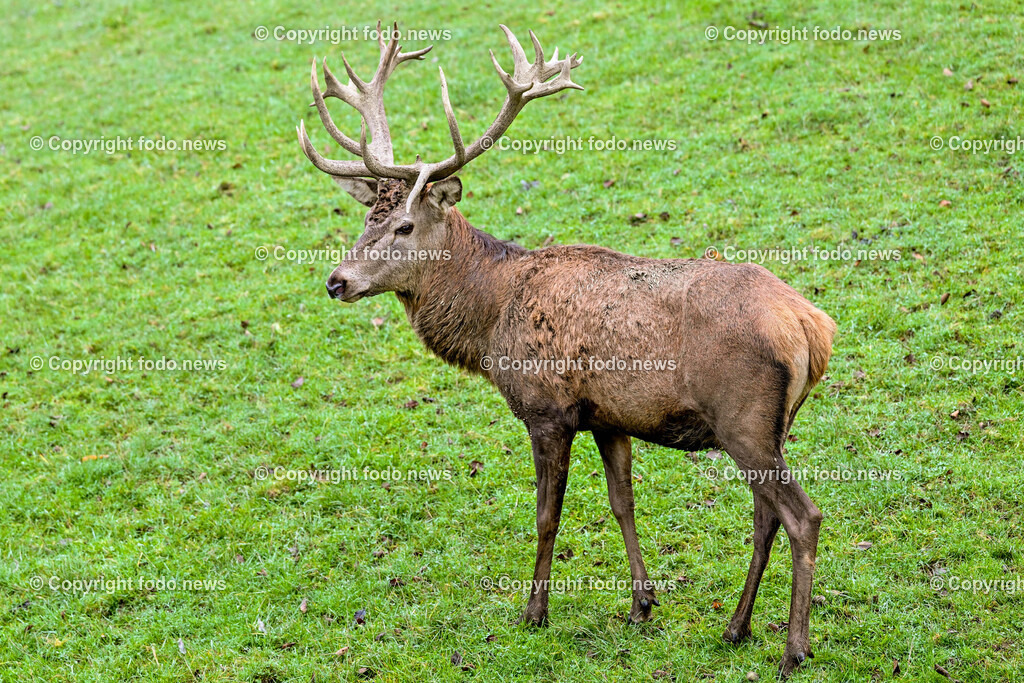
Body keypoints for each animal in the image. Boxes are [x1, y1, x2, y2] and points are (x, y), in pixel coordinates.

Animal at [294, 22, 836, 678]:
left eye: (404, 225)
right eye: (365, 218)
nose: (337, 281)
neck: (491, 317)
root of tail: (812, 326)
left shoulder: (547, 410)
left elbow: (547, 515)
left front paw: (534, 612)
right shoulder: (608, 417)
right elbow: (622, 502)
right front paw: (641, 604)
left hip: (744, 419)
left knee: (802, 516)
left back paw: (793, 648)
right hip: (773, 425)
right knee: (766, 517)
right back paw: (736, 627)